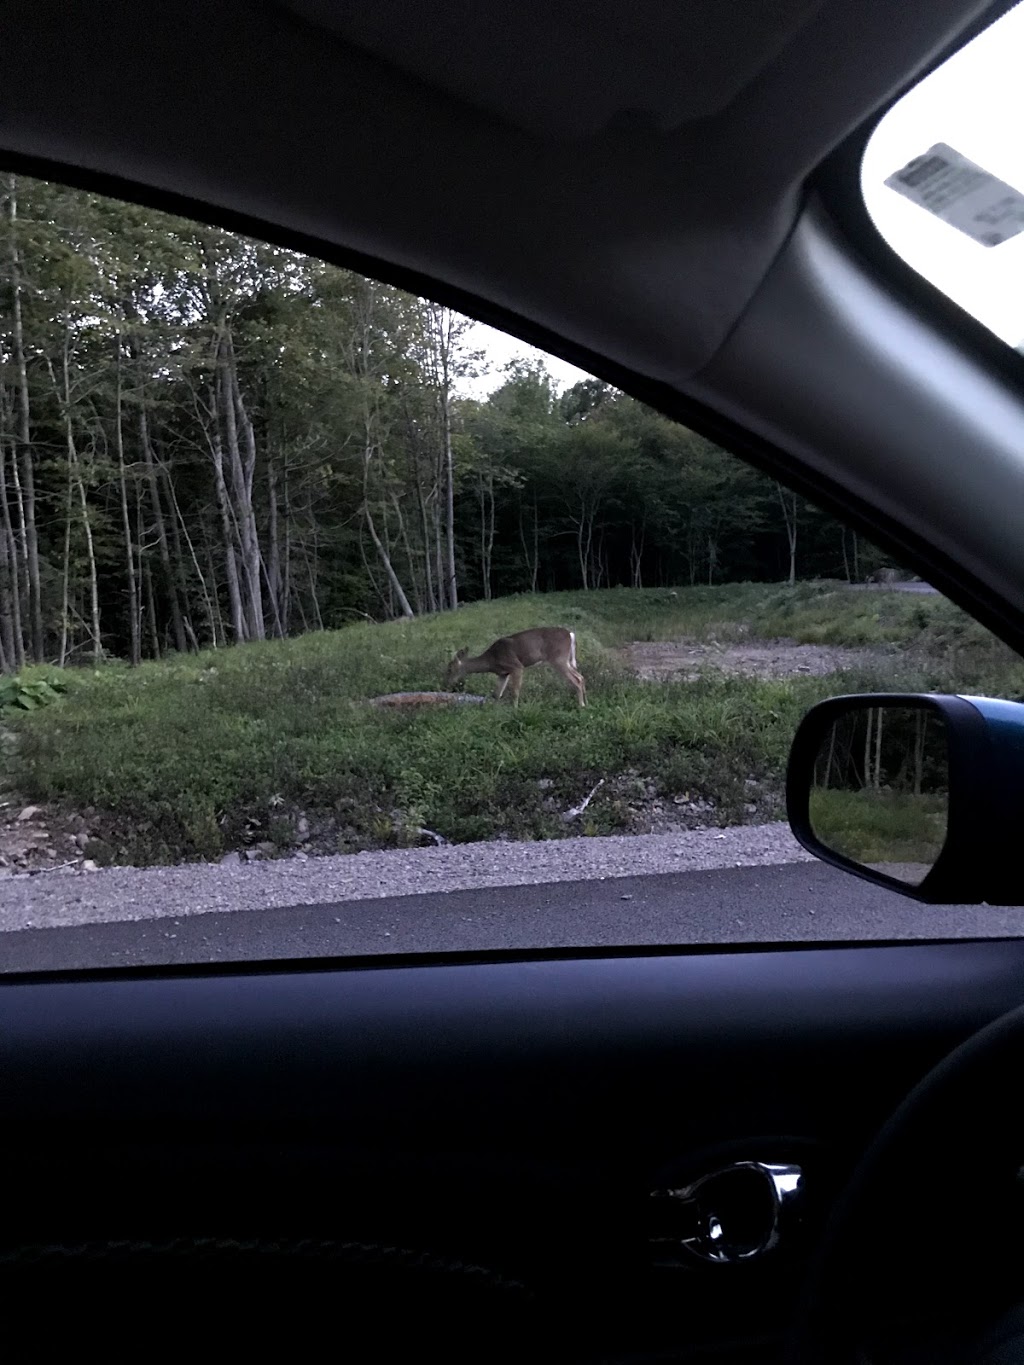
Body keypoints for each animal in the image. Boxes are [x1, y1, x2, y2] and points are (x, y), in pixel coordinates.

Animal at [445, 625, 589, 709]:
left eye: (449, 668)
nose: (447, 683)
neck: (492, 660)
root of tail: (571, 634)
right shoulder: (503, 673)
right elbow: (497, 694)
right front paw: (495, 710)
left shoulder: (516, 666)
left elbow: (515, 691)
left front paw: (515, 709)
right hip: (566, 660)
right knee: (581, 676)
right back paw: (586, 702)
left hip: (558, 658)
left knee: (576, 679)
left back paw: (581, 705)